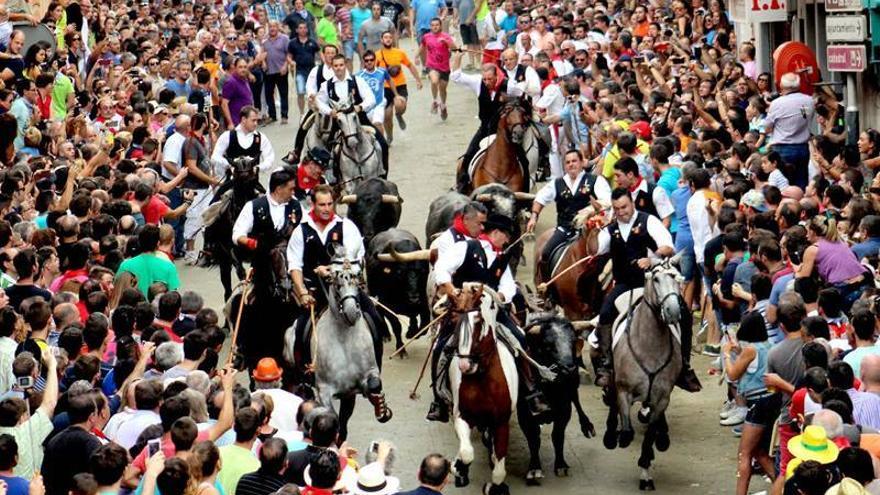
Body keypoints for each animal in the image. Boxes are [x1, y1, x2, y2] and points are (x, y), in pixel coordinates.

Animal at [200, 157, 264, 300]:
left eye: (253, 179)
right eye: (238, 180)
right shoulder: (232, 251)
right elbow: (241, 273)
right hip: (224, 261)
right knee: (227, 289)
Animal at [300, 258, 392, 440]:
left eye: (358, 283)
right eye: (337, 285)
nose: (351, 312)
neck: (344, 338)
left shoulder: (357, 385)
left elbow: (373, 385)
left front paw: (381, 409)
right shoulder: (324, 390)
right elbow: (332, 417)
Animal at [450, 282, 520, 495]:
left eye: (479, 323)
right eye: (456, 323)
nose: (464, 365)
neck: (483, 381)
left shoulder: (501, 422)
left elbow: (499, 470)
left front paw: (494, 486)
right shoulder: (462, 415)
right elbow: (466, 453)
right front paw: (459, 469)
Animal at [520, 314, 596, 484]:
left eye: (573, 342)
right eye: (548, 345)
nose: (569, 368)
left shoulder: (564, 409)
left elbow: (558, 436)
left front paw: (561, 465)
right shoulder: (525, 414)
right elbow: (533, 439)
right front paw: (534, 468)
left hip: (574, 385)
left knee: (576, 399)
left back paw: (587, 425)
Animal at [604, 256, 688, 492]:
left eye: (676, 278)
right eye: (656, 279)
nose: (673, 311)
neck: (650, 345)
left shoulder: (662, 397)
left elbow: (650, 433)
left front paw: (646, 471)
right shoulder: (624, 390)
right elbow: (627, 429)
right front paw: (619, 436)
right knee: (613, 401)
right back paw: (610, 435)